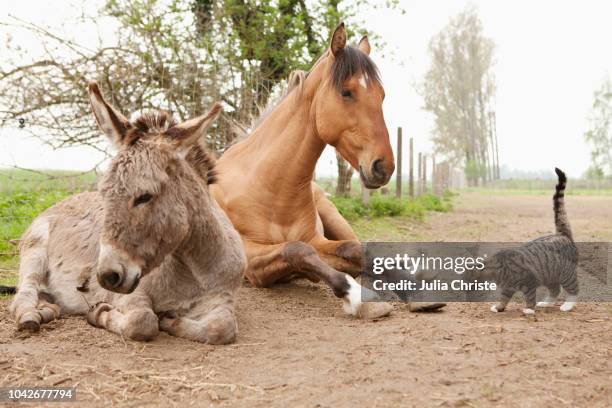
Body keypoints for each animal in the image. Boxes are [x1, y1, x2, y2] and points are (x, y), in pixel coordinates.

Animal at [8, 83, 244, 344]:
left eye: (144, 196)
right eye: (103, 193)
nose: (106, 277)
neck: (193, 270)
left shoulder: (222, 297)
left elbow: (222, 328)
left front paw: (172, 320)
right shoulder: (131, 294)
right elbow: (143, 321)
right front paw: (100, 314)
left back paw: (47, 309)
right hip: (34, 251)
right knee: (24, 293)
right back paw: (30, 316)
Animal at [210, 21, 444, 318]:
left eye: (381, 95)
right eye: (346, 91)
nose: (384, 166)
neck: (268, 186)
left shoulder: (317, 240)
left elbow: (357, 249)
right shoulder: (251, 259)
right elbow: (298, 250)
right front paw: (358, 297)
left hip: (335, 217)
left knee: (357, 246)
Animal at [482, 167, 580, 314]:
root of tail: (561, 234)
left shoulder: (529, 282)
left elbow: (529, 297)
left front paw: (528, 309)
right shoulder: (508, 288)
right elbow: (503, 298)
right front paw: (499, 307)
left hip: (566, 274)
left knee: (573, 289)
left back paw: (567, 305)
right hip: (550, 275)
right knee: (555, 290)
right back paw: (546, 303)